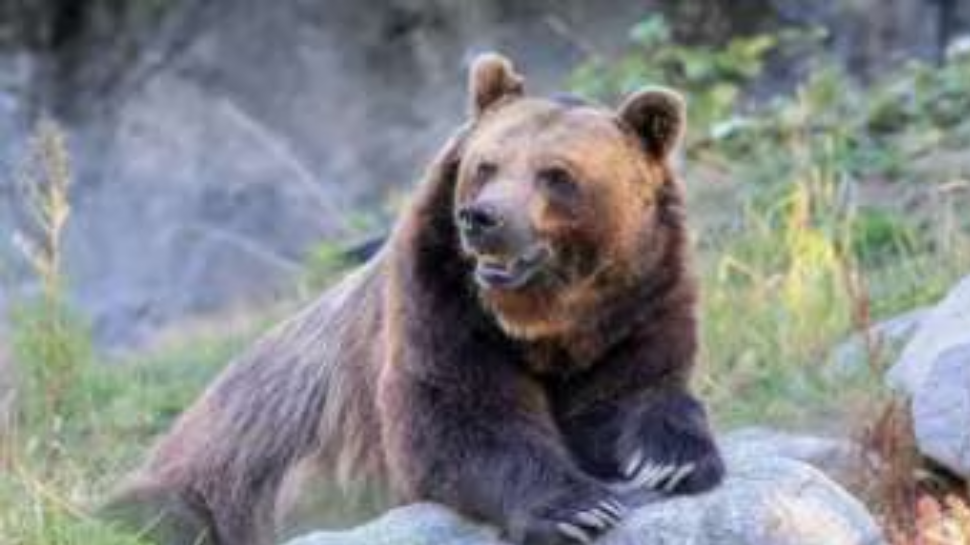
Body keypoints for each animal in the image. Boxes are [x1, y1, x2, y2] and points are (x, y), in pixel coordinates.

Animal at [102, 52, 724, 545]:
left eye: (556, 174)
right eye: (485, 164)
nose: (483, 219)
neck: (544, 320)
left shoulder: (640, 298)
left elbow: (633, 390)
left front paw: (669, 460)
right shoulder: (439, 302)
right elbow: (459, 418)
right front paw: (578, 508)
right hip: (215, 480)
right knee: (151, 516)